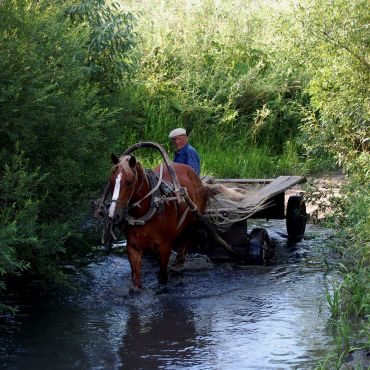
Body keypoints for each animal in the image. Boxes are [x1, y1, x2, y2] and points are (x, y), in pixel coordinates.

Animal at [107, 154, 211, 290]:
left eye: (129, 182)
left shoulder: (164, 247)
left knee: (187, 236)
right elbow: (136, 281)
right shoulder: (133, 248)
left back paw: (179, 262)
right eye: (111, 181)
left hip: (194, 217)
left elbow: (162, 277)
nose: (114, 215)